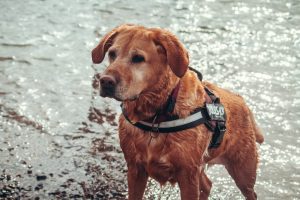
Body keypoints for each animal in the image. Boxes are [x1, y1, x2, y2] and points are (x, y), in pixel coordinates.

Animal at [91, 24, 262, 199]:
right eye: (112, 54)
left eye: (138, 58)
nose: (105, 81)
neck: (157, 115)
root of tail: (241, 101)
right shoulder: (135, 169)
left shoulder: (188, 176)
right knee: (207, 185)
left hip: (243, 172)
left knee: (250, 193)